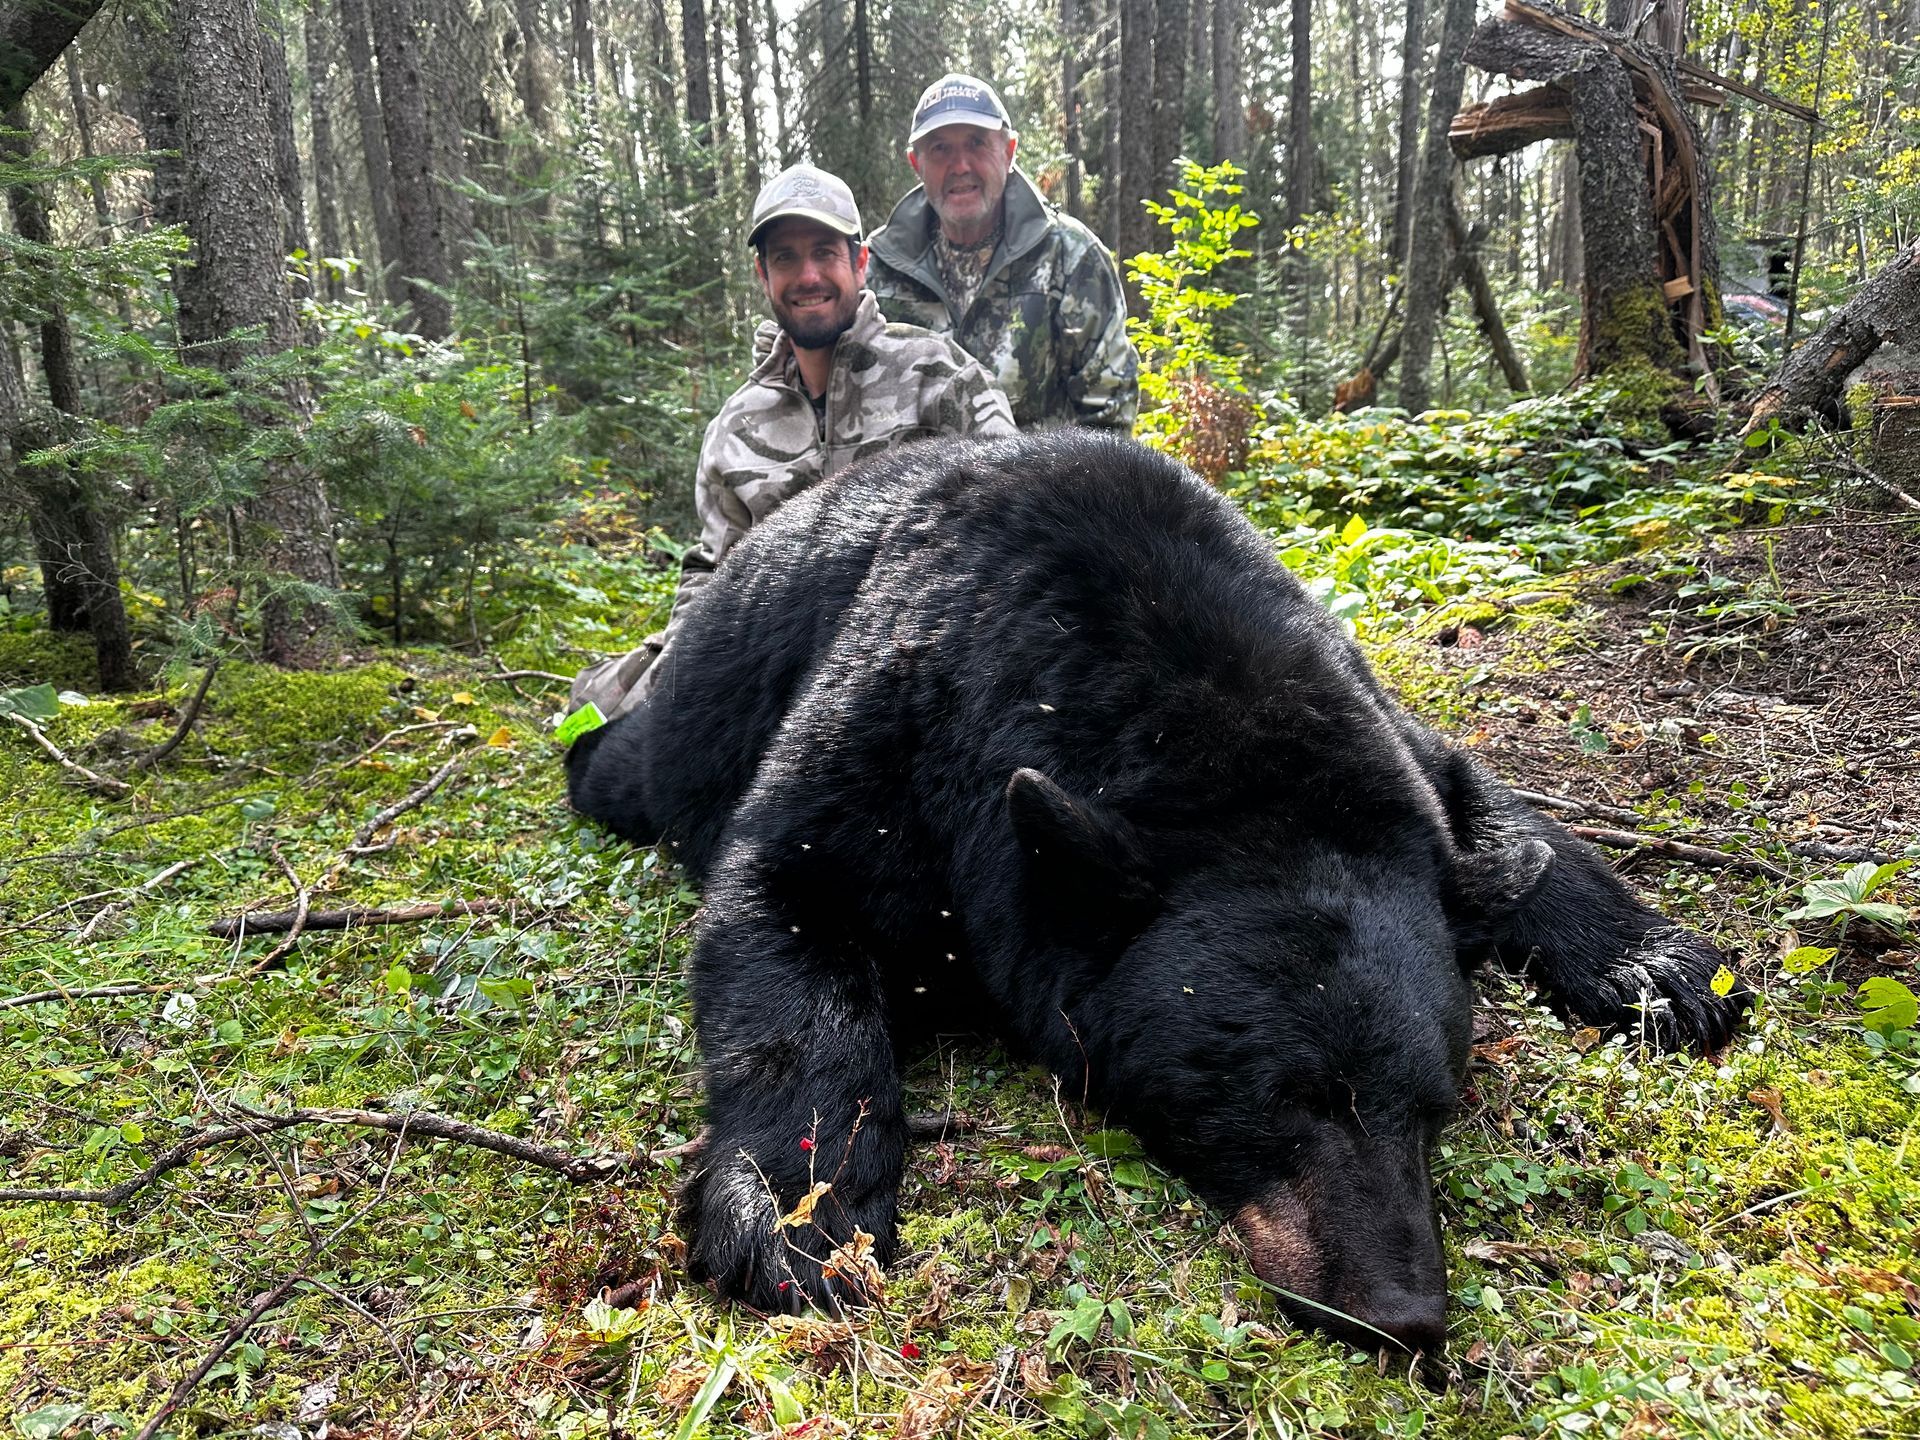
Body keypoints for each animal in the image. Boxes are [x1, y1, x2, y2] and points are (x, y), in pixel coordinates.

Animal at [565, 431, 1748, 1357]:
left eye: (1436, 1107)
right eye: (1285, 1096)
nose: (1402, 1314)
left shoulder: (1384, 754)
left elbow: (1495, 810)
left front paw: (1659, 964)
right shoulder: (899, 724)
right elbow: (785, 903)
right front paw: (794, 1216)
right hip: (679, 738)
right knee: (618, 764)